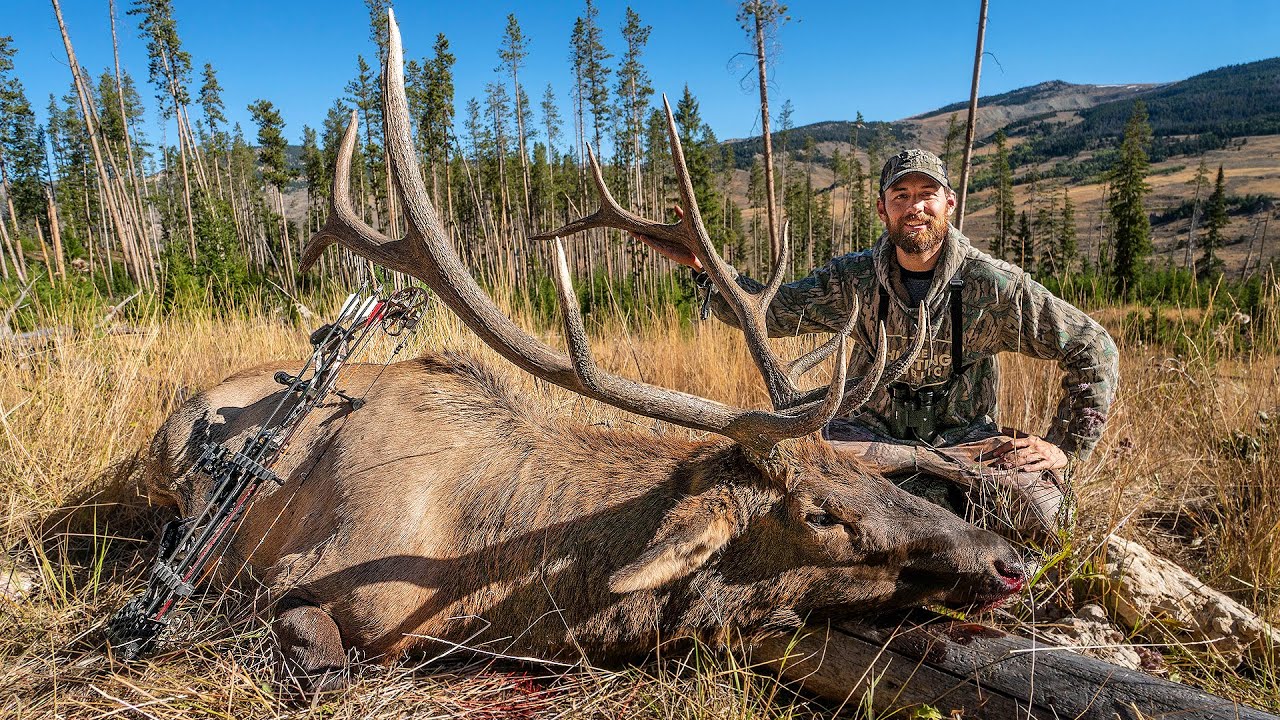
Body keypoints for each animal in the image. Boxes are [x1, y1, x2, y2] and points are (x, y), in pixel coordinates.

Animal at [139, 11, 1027, 696]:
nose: (1007, 560)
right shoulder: (298, 584)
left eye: (870, 473)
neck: (478, 581)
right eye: (820, 514)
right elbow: (324, 665)